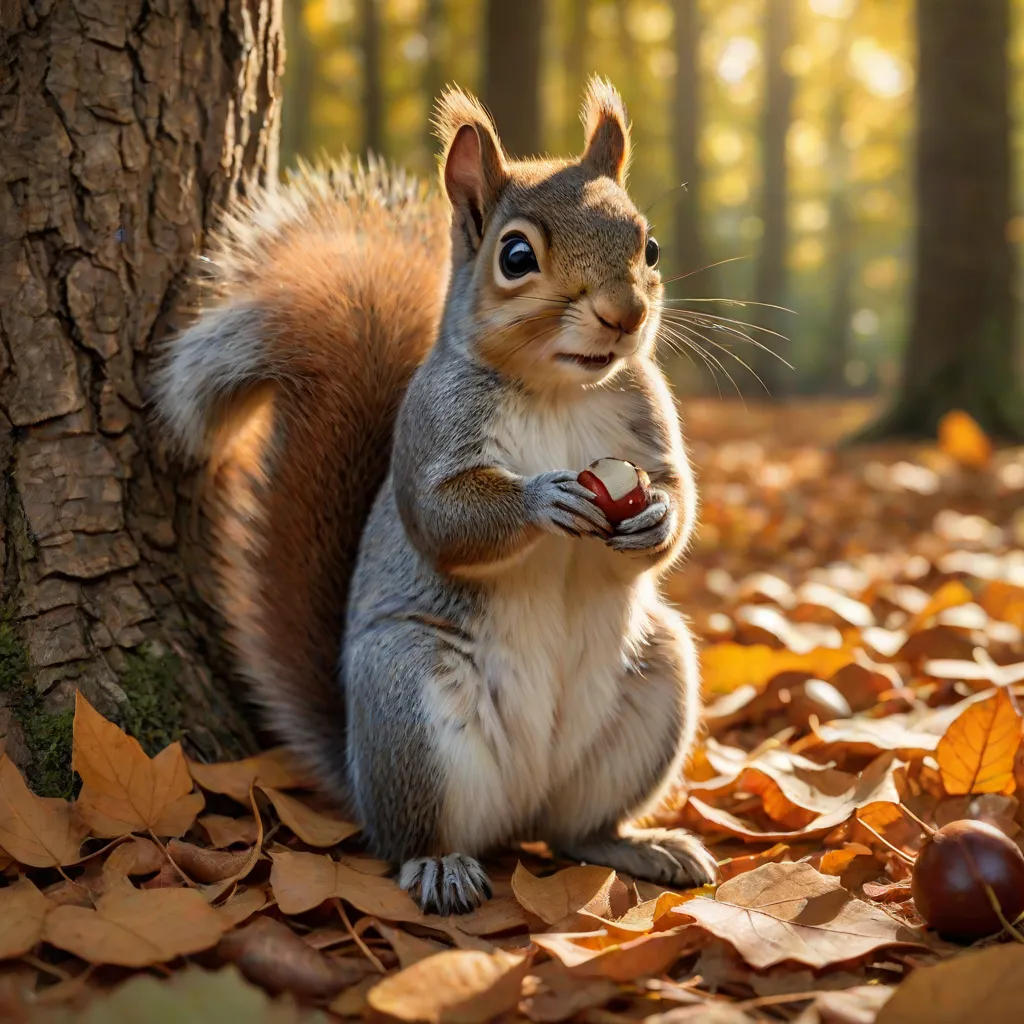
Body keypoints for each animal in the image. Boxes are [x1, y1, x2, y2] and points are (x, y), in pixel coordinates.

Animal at [155, 78, 717, 915]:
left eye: (648, 247)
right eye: (515, 257)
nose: (626, 316)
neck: (557, 390)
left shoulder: (648, 418)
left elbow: (679, 496)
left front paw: (652, 518)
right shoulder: (427, 430)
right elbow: (442, 520)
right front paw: (541, 500)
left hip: (654, 687)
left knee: (576, 830)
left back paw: (638, 846)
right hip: (410, 702)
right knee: (413, 835)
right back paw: (440, 866)